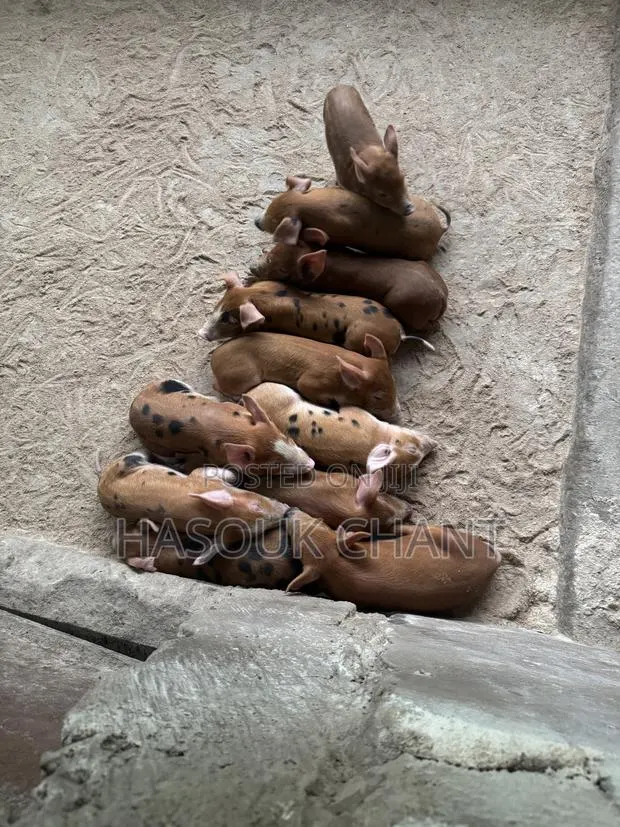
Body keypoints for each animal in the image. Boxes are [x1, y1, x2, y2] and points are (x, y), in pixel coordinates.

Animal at [97, 451, 288, 544]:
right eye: (256, 506)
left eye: (255, 533)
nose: (287, 511)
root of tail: (101, 488)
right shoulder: (200, 476)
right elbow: (223, 473)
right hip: (127, 461)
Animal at [129, 378, 314, 474]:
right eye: (275, 465)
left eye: (286, 438)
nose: (312, 464)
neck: (235, 430)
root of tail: (134, 404)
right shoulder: (214, 456)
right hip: (158, 446)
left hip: (173, 383)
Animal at [199, 271, 405, 355]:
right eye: (217, 306)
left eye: (229, 319)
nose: (200, 333)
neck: (257, 295)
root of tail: (399, 333)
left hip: (357, 338)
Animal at [210, 331, 400, 422]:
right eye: (377, 396)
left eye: (393, 383)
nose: (395, 414)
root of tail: (214, 358)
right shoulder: (310, 382)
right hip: (244, 377)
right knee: (217, 386)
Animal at [244, 383, 436, 479]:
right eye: (412, 449)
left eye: (414, 467)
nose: (434, 443)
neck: (376, 438)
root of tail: (251, 392)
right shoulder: (360, 415)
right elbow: (350, 407)